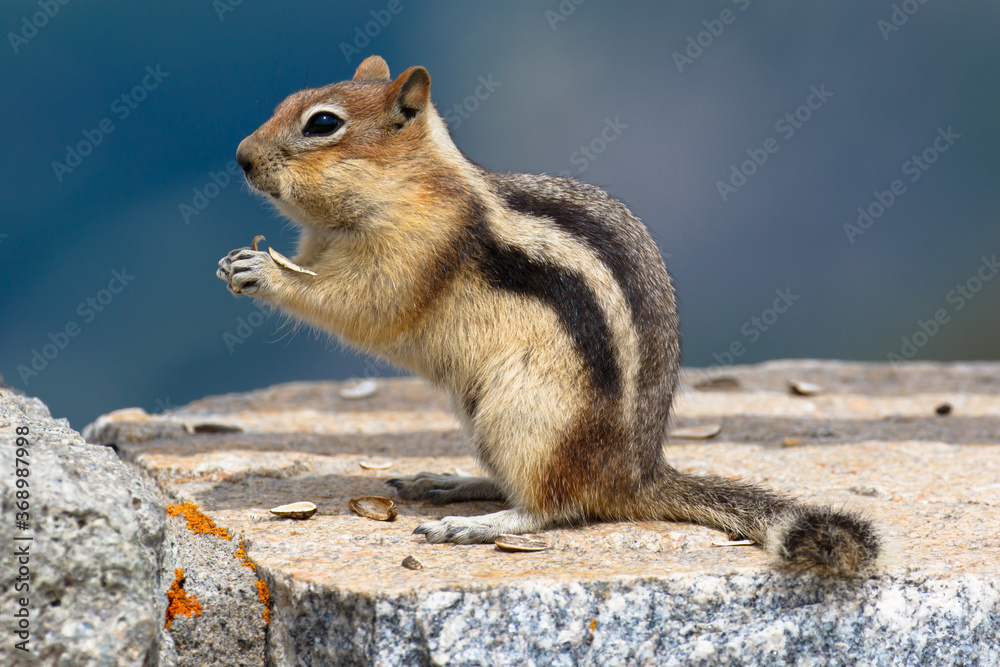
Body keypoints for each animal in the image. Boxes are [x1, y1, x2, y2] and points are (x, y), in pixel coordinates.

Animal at [217, 55, 882, 576]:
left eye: (323, 124)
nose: (242, 157)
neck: (406, 186)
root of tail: (635, 477)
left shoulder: (416, 251)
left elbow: (361, 303)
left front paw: (263, 273)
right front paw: (234, 262)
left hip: (529, 413)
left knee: (554, 506)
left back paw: (474, 524)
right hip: (484, 414)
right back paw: (451, 483)